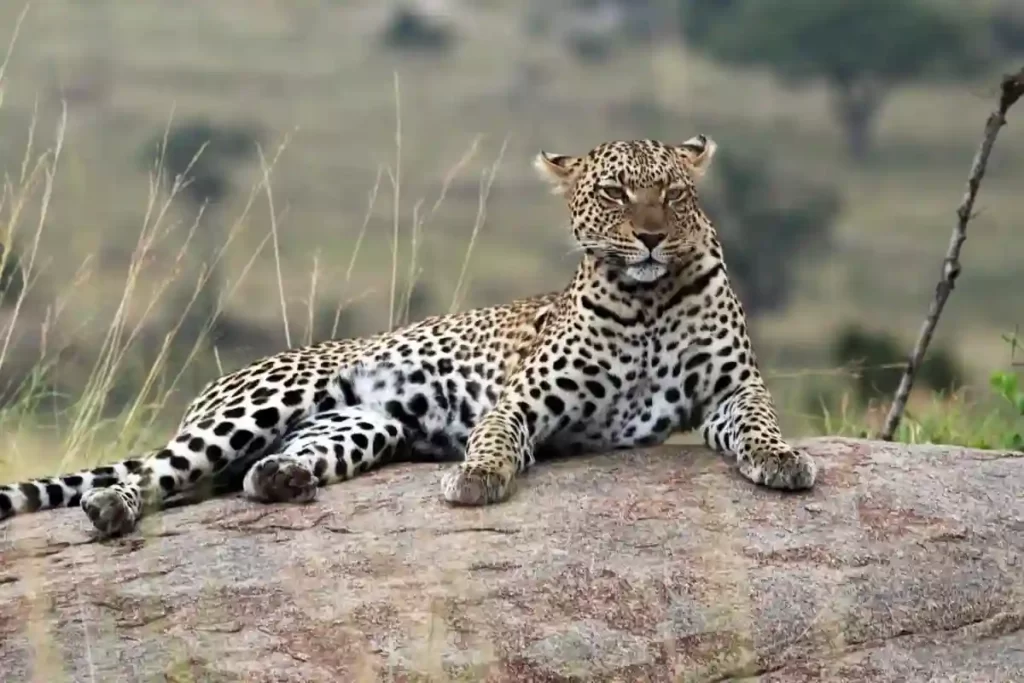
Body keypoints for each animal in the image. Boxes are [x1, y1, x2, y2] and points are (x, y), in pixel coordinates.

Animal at [0, 135, 817, 539]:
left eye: (672, 193)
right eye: (615, 193)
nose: (650, 237)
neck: (646, 300)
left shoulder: (733, 388)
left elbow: (758, 420)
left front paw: (782, 459)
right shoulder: (524, 400)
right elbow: (498, 435)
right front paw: (476, 478)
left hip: (366, 425)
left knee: (244, 475)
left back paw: (283, 479)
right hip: (261, 403)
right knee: (154, 473)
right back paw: (112, 509)